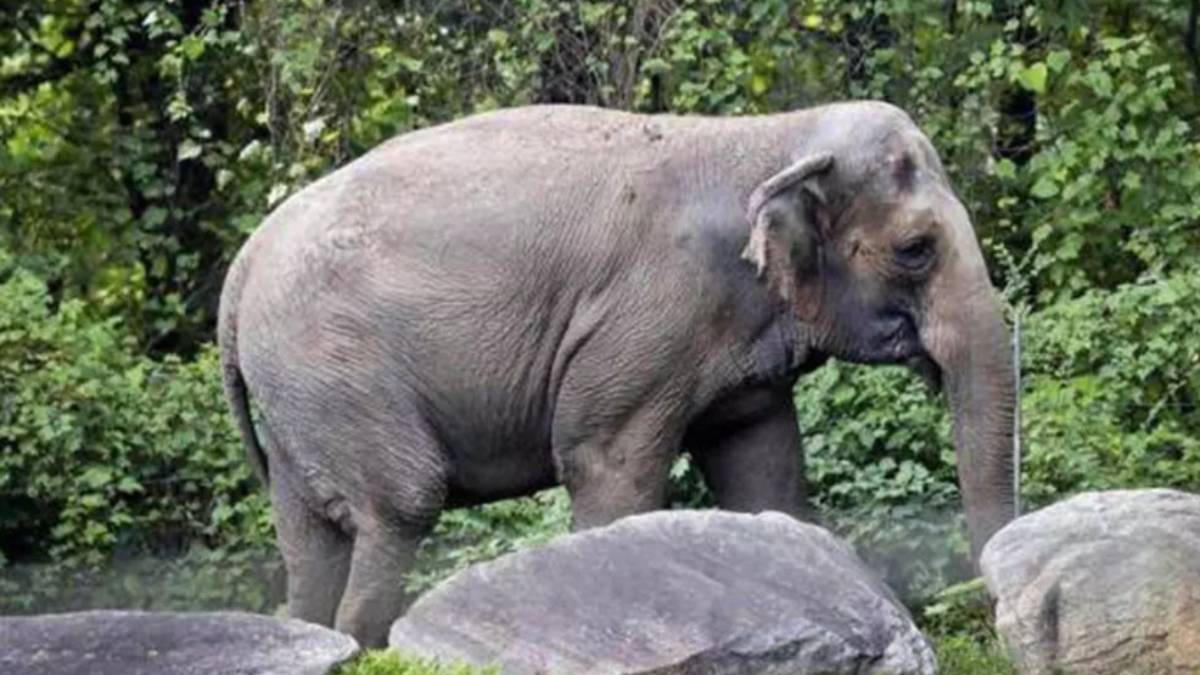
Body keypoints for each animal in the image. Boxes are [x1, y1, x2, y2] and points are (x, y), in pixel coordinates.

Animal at [218, 101, 1015, 647]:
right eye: (915, 249)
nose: (986, 610)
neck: (771, 135)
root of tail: (242, 266)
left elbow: (765, 473)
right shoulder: (648, 321)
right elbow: (608, 466)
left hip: (298, 396)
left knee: (308, 541)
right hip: (335, 368)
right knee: (401, 504)